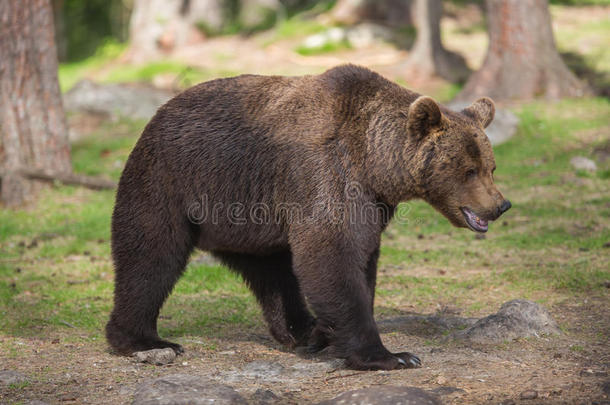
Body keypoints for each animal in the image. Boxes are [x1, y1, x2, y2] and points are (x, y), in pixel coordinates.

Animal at [105, 64, 508, 370]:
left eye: (491, 167)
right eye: (469, 170)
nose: (500, 205)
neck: (375, 163)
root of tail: (157, 114)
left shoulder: (372, 201)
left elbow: (361, 258)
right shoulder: (327, 173)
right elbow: (331, 255)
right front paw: (392, 355)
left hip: (249, 220)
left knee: (274, 274)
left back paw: (305, 332)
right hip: (171, 181)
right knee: (151, 256)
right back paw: (145, 340)